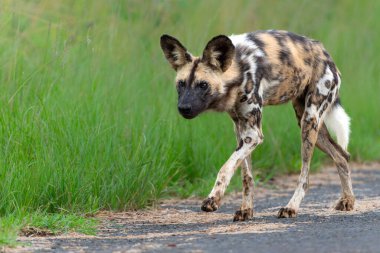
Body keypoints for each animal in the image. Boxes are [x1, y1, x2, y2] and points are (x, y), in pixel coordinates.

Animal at [159, 29, 354, 220]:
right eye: (181, 84)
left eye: (203, 85)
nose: (183, 108)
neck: (238, 68)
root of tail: (325, 54)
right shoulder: (241, 131)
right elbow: (246, 176)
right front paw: (246, 210)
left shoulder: (253, 135)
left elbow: (225, 168)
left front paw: (213, 199)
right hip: (310, 125)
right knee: (342, 156)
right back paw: (348, 200)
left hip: (309, 121)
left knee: (305, 176)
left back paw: (291, 207)